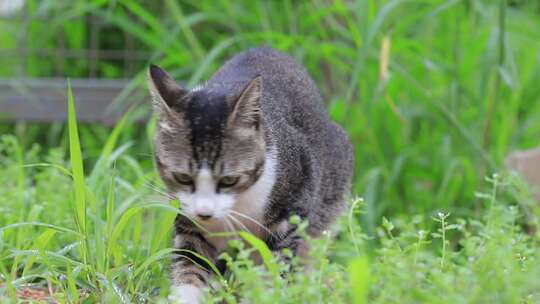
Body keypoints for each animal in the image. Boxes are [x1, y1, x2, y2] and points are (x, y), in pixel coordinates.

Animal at [147, 46, 354, 302]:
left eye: (229, 180)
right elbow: (190, 267)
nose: (204, 213)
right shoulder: (189, 222)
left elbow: (274, 270)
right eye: (183, 177)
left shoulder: (292, 209)